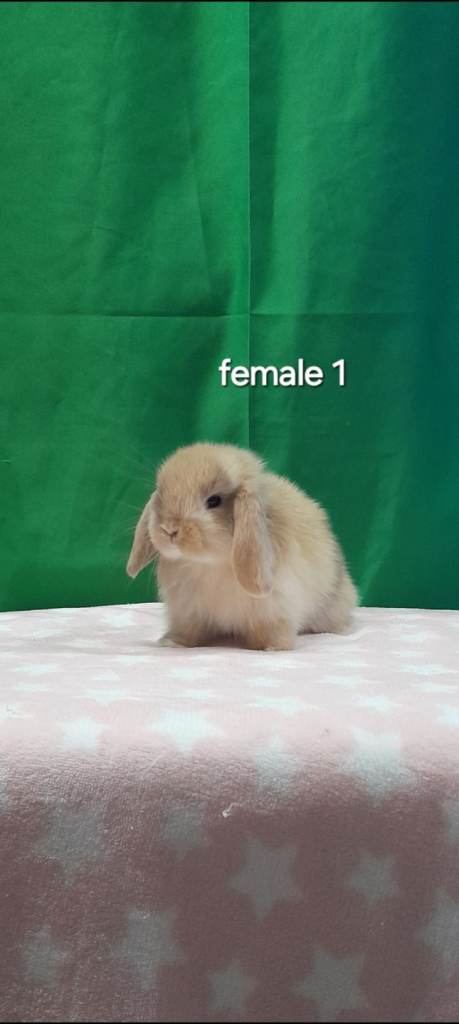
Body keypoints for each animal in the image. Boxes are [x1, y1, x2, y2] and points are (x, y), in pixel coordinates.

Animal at [126, 442, 357, 651]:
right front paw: (172, 642)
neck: (210, 564)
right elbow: (188, 630)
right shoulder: (187, 611)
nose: (169, 529)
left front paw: (272, 647)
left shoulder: (274, 609)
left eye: (214, 501)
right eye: (161, 495)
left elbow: (272, 630)